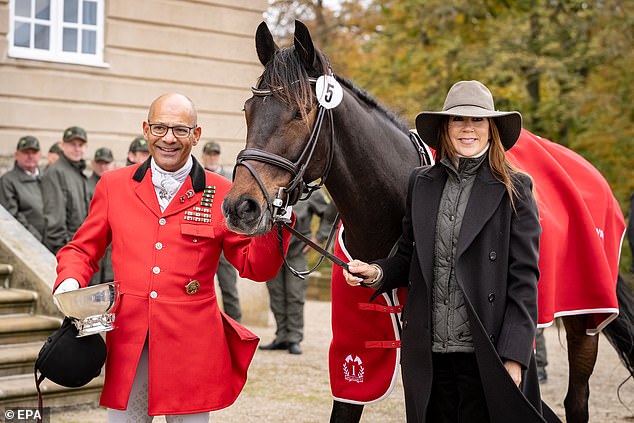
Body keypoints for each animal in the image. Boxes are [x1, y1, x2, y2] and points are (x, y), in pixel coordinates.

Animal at [222, 21, 632, 423]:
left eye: (299, 112)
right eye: (248, 109)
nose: (241, 206)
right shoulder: (359, 353)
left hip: (583, 323)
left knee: (575, 399)